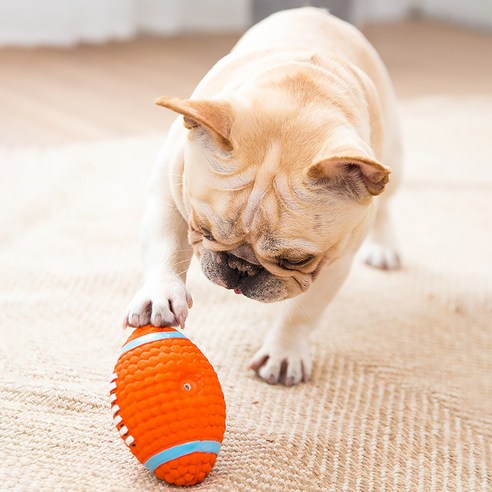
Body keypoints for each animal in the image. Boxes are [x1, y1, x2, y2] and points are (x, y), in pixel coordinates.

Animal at [125, 5, 402, 386]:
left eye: (295, 261)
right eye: (204, 229)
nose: (241, 268)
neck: (300, 95)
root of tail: (318, 11)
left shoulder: (334, 261)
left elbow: (303, 311)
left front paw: (284, 353)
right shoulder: (169, 193)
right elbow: (164, 246)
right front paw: (161, 295)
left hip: (393, 161)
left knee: (387, 204)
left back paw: (385, 247)